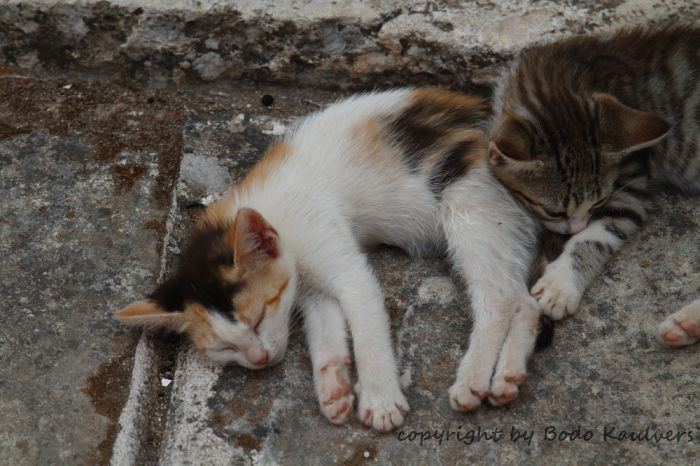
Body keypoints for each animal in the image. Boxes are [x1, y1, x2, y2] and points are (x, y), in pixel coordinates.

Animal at [119, 87, 548, 430]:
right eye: (224, 349)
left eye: (259, 316)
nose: (258, 360)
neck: (274, 214)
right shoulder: (309, 287)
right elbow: (324, 331)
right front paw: (334, 387)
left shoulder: (338, 258)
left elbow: (367, 326)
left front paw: (380, 399)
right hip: (499, 225)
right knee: (523, 299)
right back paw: (506, 378)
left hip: (469, 206)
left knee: (497, 298)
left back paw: (472, 380)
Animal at [486, 25, 700, 346]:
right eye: (553, 211)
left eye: (598, 203)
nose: (574, 228)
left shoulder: (633, 184)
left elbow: (597, 235)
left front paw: (561, 284)